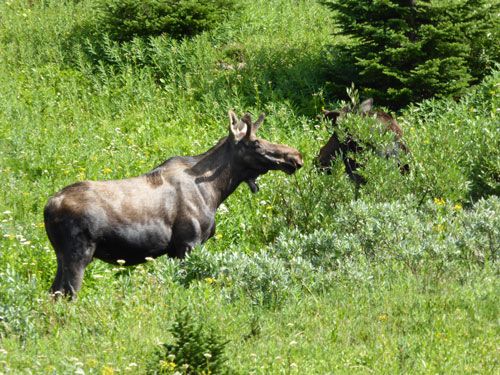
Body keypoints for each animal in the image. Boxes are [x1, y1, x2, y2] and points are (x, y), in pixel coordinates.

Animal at [45, 110, 302, 298]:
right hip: (78, 254)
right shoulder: (188, 243)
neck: (216, 191)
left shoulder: (172, 251)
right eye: (255, 143)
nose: (295, 156)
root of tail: (48, 207)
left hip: (62, 255)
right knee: (66, 294)